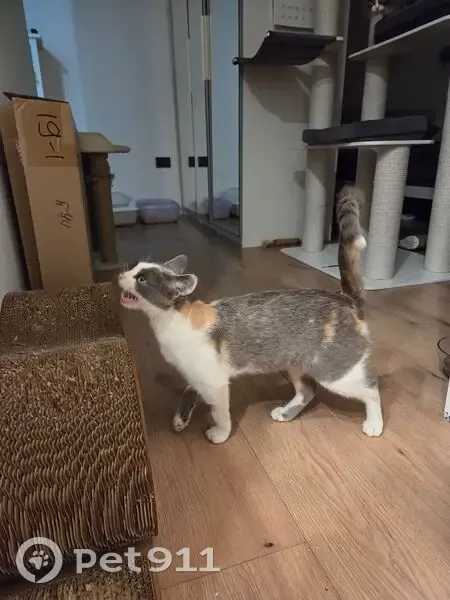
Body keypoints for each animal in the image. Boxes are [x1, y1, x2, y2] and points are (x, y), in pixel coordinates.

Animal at [118, 184, 383, 444]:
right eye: (134, 267)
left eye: (141, 279)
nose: (121, 274)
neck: (168, 322)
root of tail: (345, 297)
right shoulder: (198, 375)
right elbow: (188, 391)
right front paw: (180, 419)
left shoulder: (215, 381)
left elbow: (219, 412)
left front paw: (219, 433)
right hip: (295, 362)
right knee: (308, 390)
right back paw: (285, 413)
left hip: (335, 371)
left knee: (371, 387)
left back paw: (374, 423)